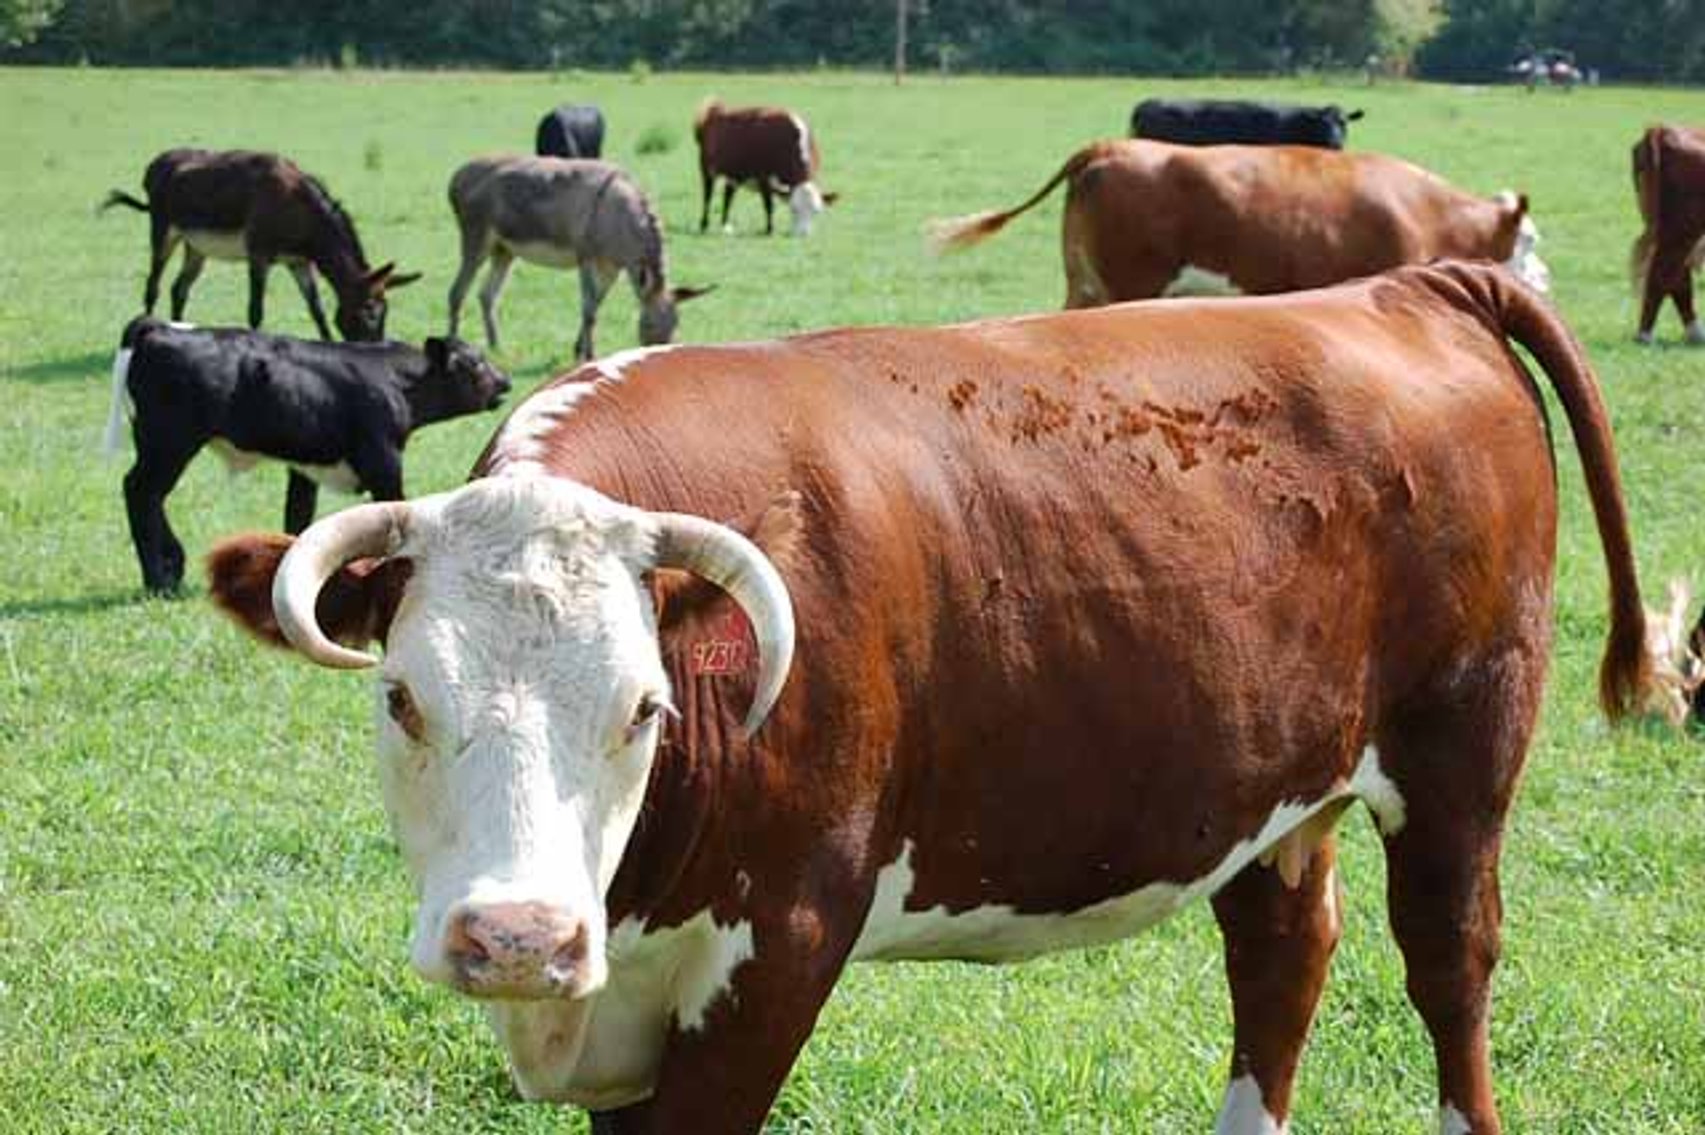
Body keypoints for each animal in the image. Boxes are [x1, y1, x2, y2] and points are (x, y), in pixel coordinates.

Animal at [101, 149, 420, 342]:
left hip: (197, 247)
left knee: (179, 288)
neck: (300, 212)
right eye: (370, 309)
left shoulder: (298, 261)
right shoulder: (258, 253)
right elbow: (255, 309)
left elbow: (316, 309)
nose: (376, 346)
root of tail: (156, 164)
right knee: (153, 285)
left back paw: (179, 329)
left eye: (385, 309)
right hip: (164, 230)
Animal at [106, 317, 509, 593]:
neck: (395, 379)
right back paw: (159, 578)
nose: (505, 381)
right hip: (168, 444)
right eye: (476, 362)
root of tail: (163, 327)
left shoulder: (305, 468)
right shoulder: (383, 461)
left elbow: (297, 517)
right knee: (140, 491)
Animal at [206, 260, 1668, 1135]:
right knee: (1281, 955)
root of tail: (1402, 284)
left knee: (1448, 960)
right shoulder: (621, 992)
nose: (514, 935)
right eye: (402, 697)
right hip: (1276, 777)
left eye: (641, 708)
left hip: (1460, 751)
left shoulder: (783, 942)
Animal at [447, 156, 713, 363]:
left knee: (486, 295)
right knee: (457, 291)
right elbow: (589, 309)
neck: (618, 220)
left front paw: (578, 350)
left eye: (677, 325)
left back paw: (496, 347)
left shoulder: (611, 268)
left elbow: (596, 304)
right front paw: (590, 355)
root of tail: (457, 176)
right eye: (648, 325)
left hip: (504, 250)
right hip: (476, 237)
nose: (658, 359)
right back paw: (453, 347)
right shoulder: (585, 257)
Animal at [694, 98, 837, 236]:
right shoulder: (763, 178)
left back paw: (725, 225)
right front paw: (769, 230)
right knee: (707, 195)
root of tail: (716, 109)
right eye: (793, 210)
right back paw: (703, 224)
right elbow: (769, 205)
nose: (802, 235)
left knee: (728, 195)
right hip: (706, 168)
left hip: (734, 173)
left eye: (816, 211)